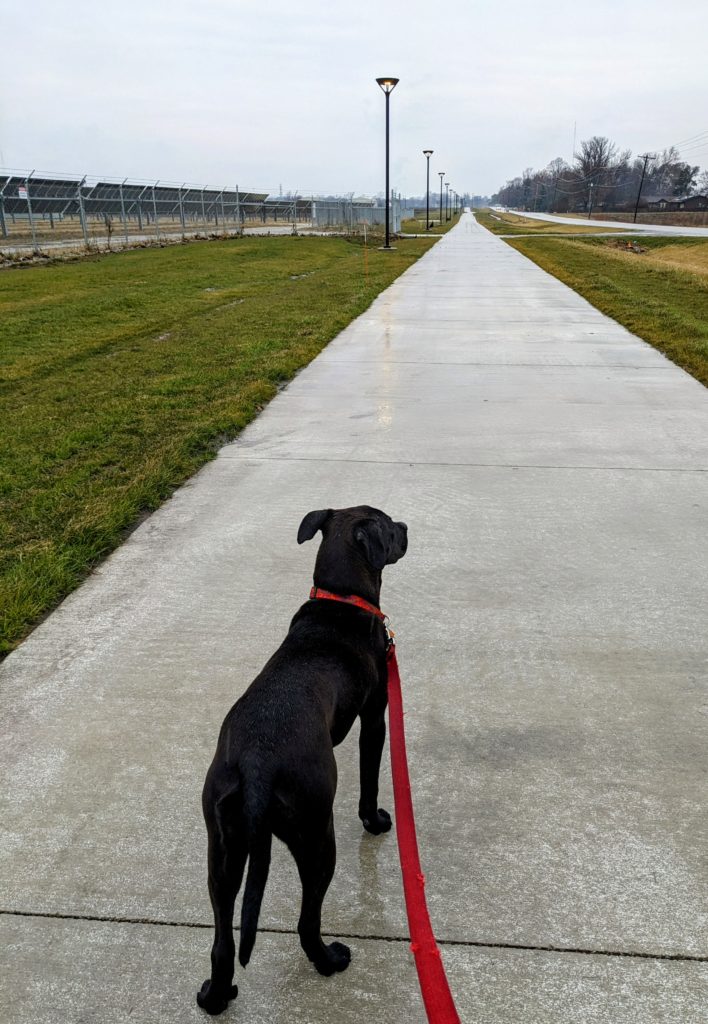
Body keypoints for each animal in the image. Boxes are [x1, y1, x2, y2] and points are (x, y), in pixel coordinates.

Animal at [196, 505, 407, 1015]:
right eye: (389, 524)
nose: (408, 528)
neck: (341, 597)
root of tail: (255, 767)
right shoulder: (375, 716)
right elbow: (370, 776)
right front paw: (375, 820)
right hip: (315, 834)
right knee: (306, 921)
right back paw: (330, 960)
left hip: (222, 850)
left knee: (222, 941)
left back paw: (215, 996)